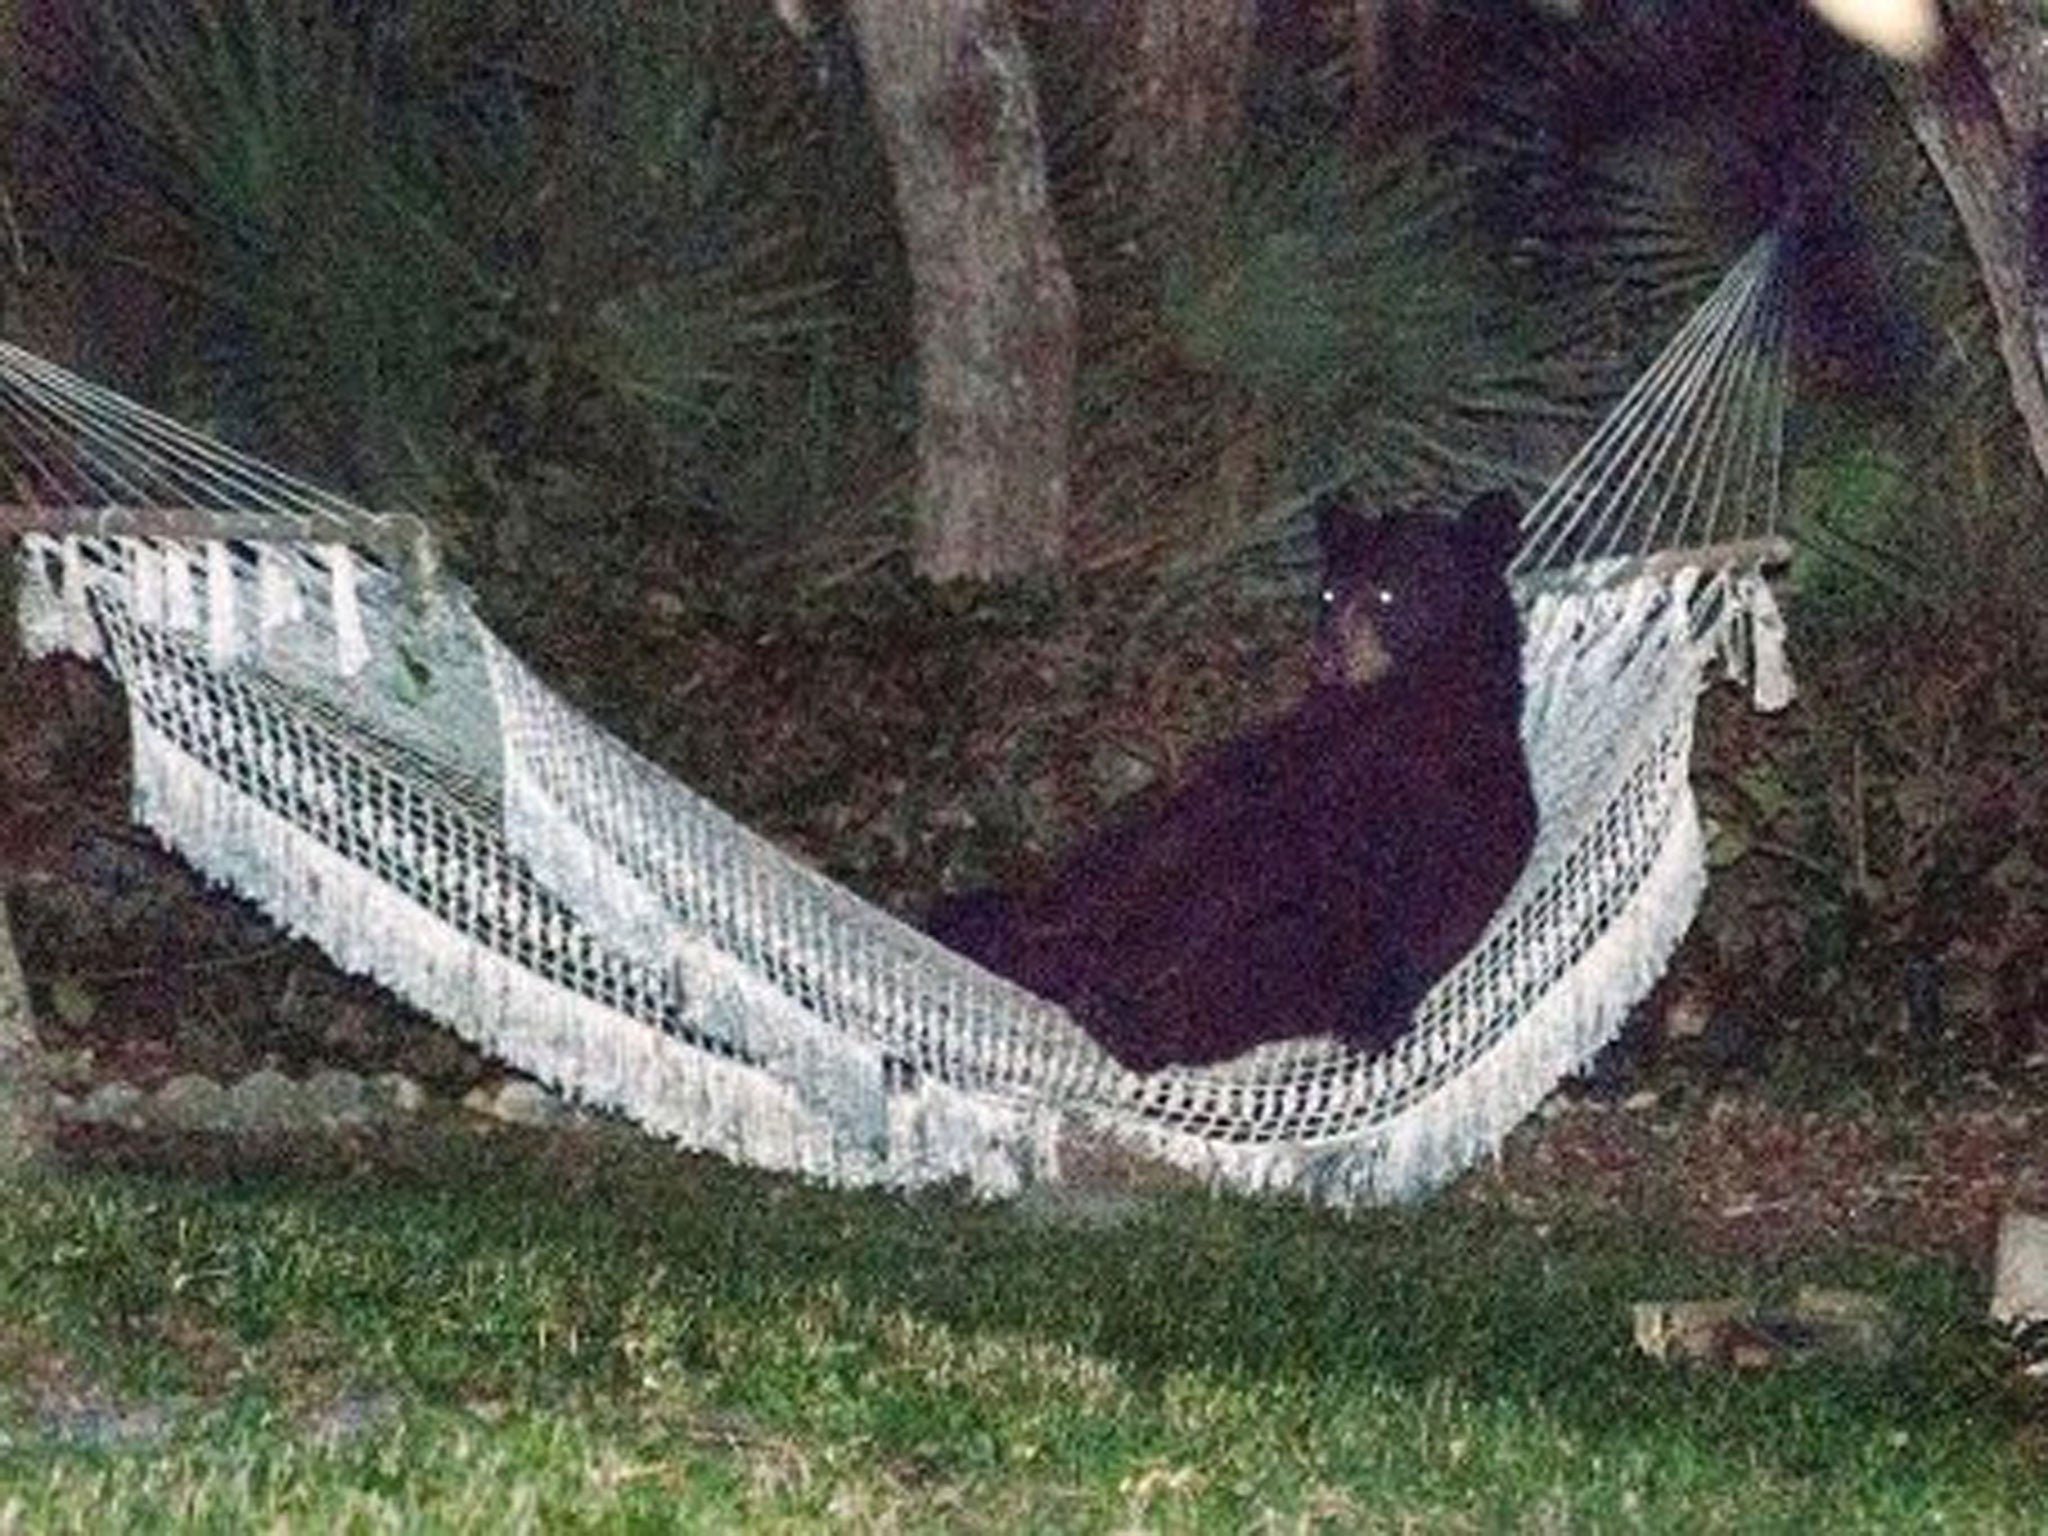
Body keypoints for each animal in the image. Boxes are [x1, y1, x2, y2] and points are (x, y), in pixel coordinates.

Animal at [929, 489, 1540, 1073]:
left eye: (1389, 594)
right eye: (1328, 594)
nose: (1327, 657)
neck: (1396, 705)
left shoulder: (1436, 799)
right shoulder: (1273, 765)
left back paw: (1122, 1014)